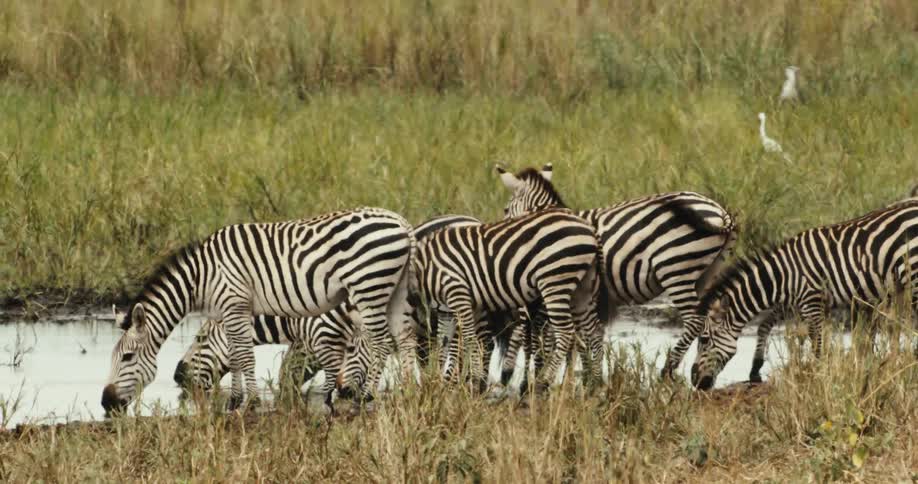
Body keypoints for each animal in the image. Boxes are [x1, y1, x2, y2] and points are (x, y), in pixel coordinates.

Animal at [102, 207, 417, 414]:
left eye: (127, 357)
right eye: (112, 357)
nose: (106, 402)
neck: (202, 277)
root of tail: (403, 223)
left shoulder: (235, 303)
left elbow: (243, 355)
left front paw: (250, 402)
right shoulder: (228, 311)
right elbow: (234, 356)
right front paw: (235, 401)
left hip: (369, 287)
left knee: (380, 341)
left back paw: (367, 396)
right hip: (395, 291)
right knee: (405, 338)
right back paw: (411, 390)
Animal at [495, 164, 737, 378]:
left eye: (506, 210)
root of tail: (720, 212)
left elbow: (535, 334)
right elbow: (576, 339)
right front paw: (576, 379)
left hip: (675, 269)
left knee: (694, 320)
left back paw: (667, 369)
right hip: (705, 273)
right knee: (711, 320)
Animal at [692, 200, 918, 390]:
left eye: (704, 339)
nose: (694, 381)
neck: (781, 277)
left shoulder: (811, 299)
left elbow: (816, 340)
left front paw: (820, 375)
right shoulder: (790, 302)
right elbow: (764, 325)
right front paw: (755, 370)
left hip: (913, 274)